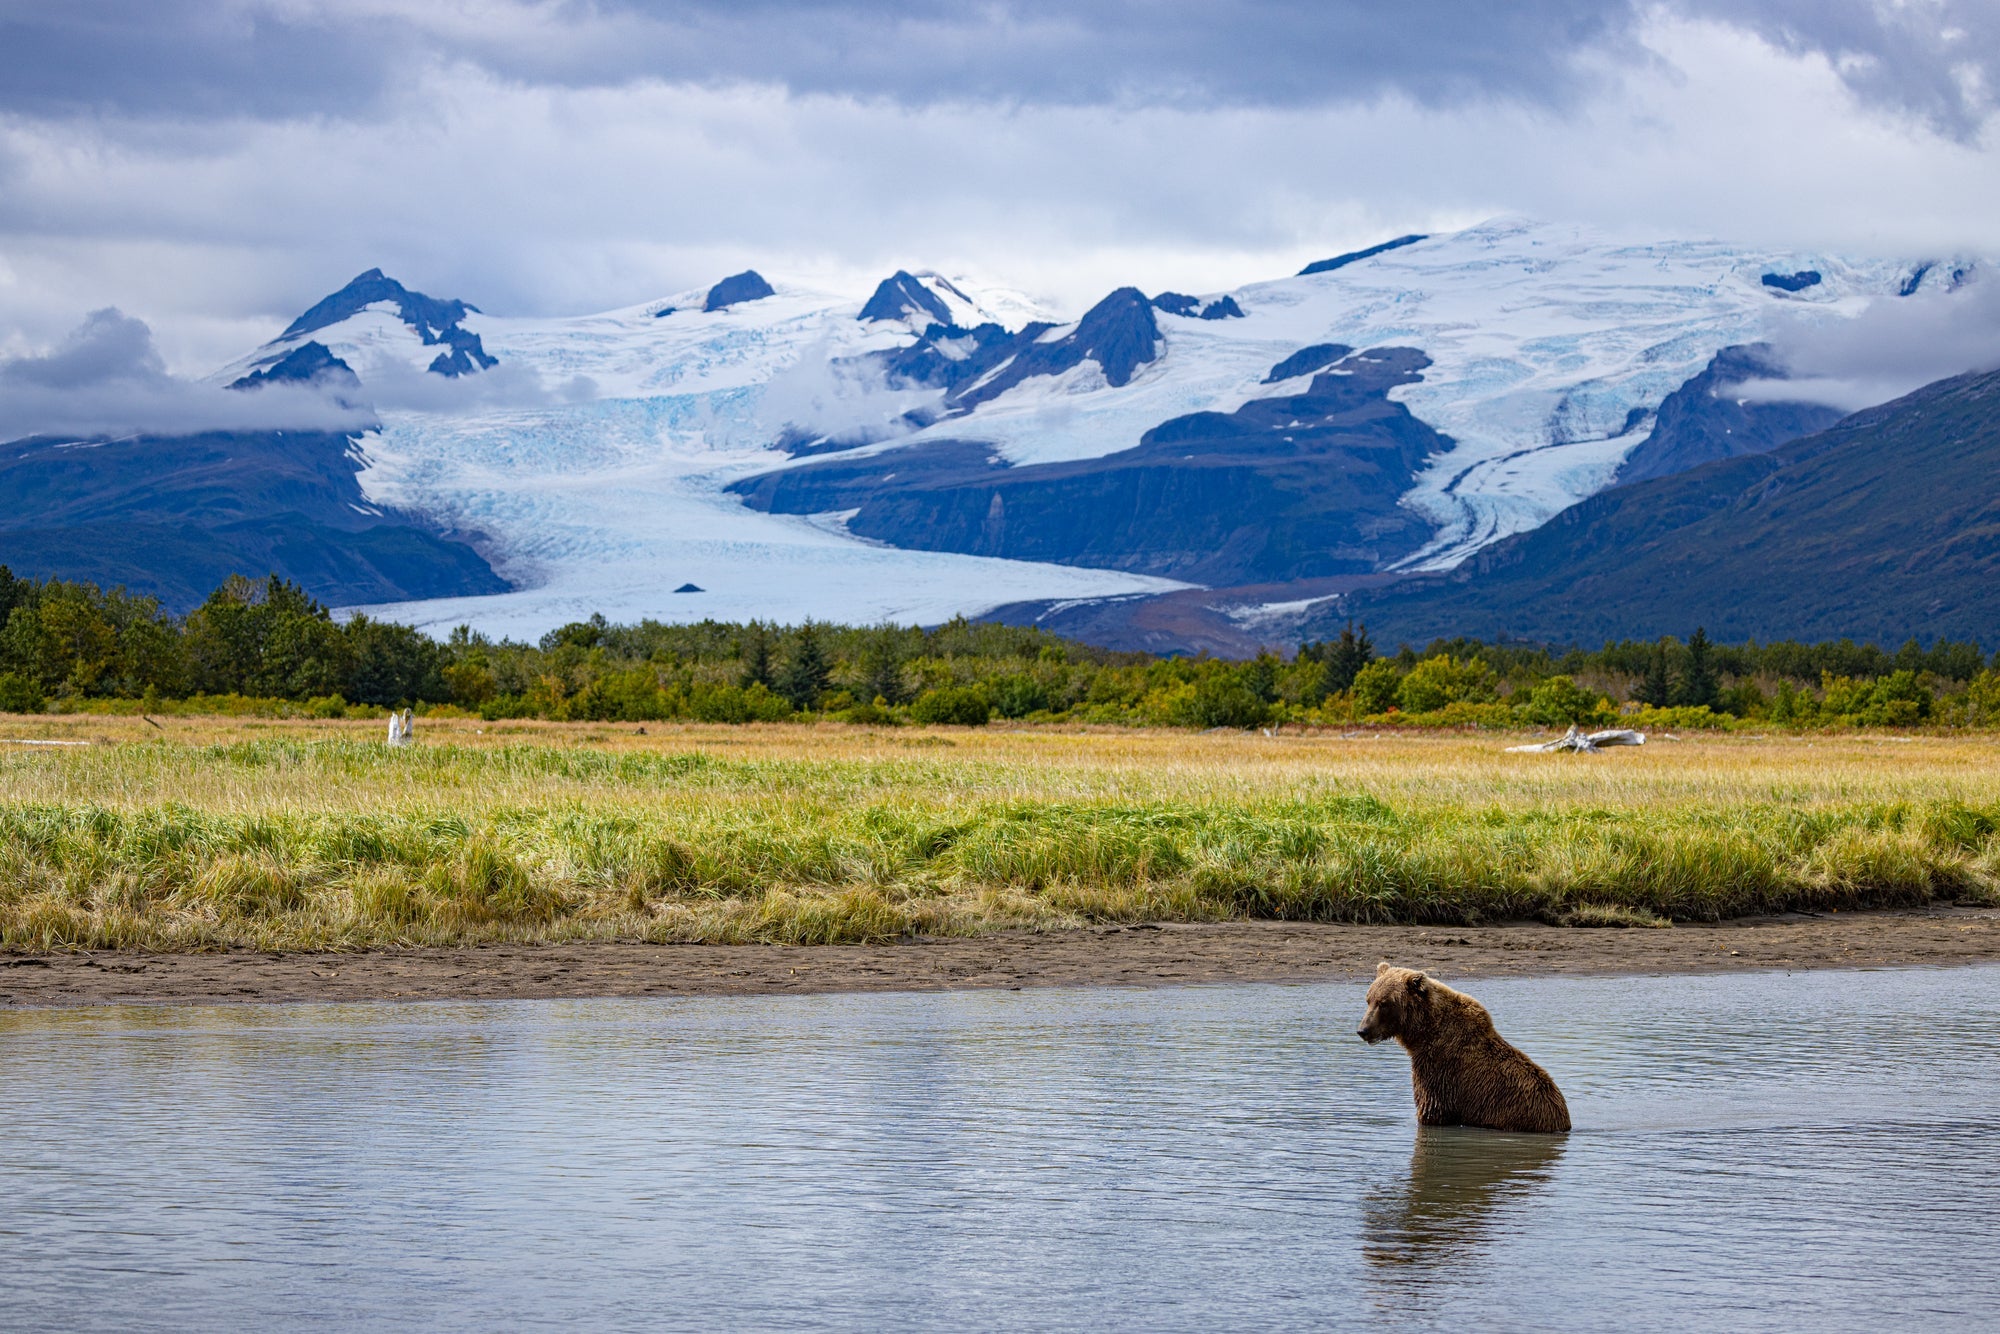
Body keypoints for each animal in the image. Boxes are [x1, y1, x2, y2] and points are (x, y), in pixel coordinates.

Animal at [1360, 960, 1576, 1136]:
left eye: (1384, 1003)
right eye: (1369, 999)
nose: (1363, 1030)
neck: (1424, 1033)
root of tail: (1563, 1120)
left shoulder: (1439, 1071)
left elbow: (1431, 1110)